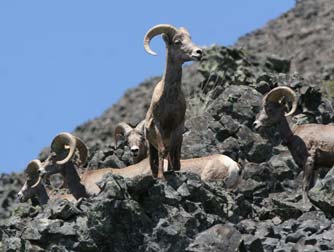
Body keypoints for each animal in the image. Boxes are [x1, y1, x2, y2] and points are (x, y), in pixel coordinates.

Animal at [144, 23, 204, 177]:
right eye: (177, 42)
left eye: (190, 39)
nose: (199, 52)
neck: (169, 98)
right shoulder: (158, 126)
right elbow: (162, 152)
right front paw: (162, 177)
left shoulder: (176, 127)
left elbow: (170, 153)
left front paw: (171, 172)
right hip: (151, 147)